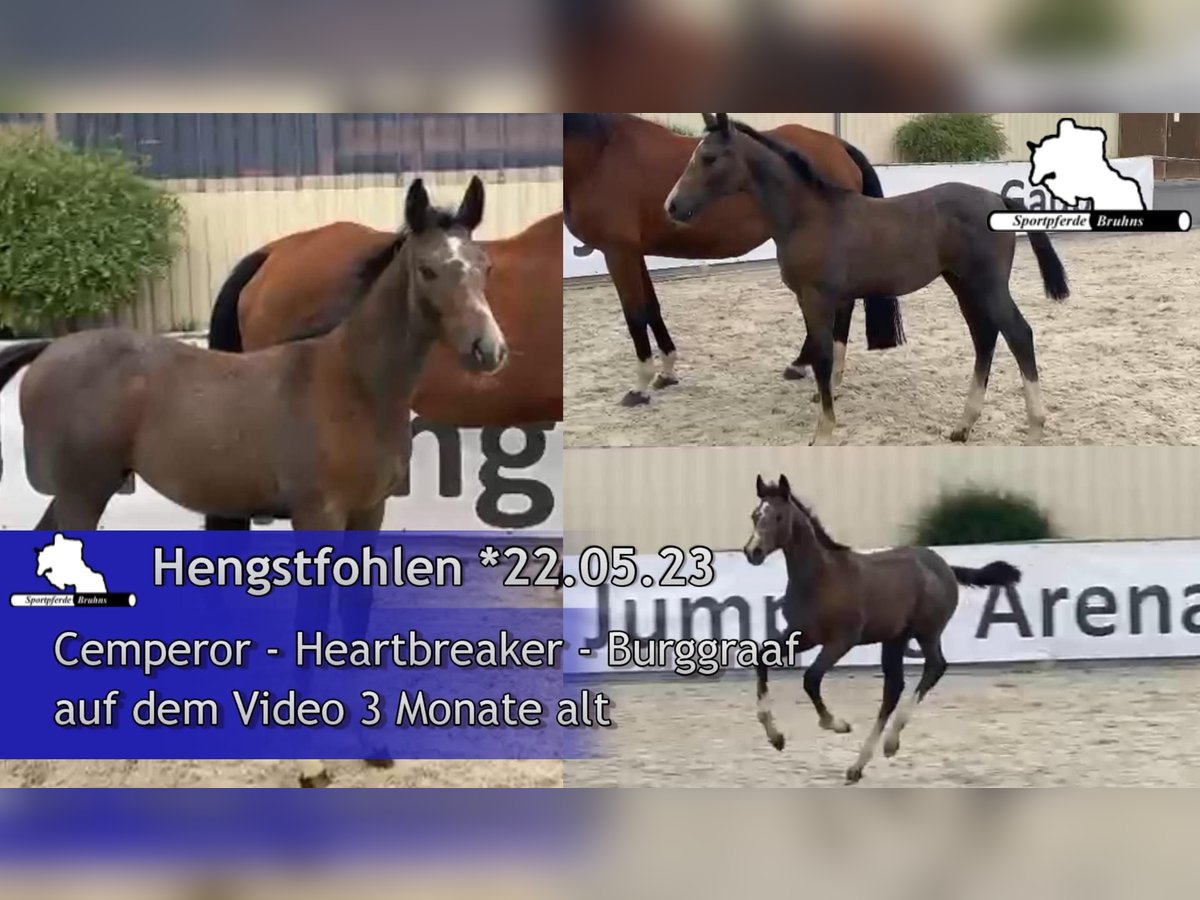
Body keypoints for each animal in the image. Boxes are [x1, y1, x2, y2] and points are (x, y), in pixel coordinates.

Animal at [744, 475, 1017, 787]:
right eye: (755, 515)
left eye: (778, 517)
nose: (753, 552)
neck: (821, 578)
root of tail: (945, 566)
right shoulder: (804, 635)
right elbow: (762, 657)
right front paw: (776, 737)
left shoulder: (841, 640)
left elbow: (810, 679)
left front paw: (837, 724)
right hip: (895, 638)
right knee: (893, 688)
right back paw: (859, 766)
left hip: (926, 632)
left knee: (935, 667)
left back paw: (890, 743)